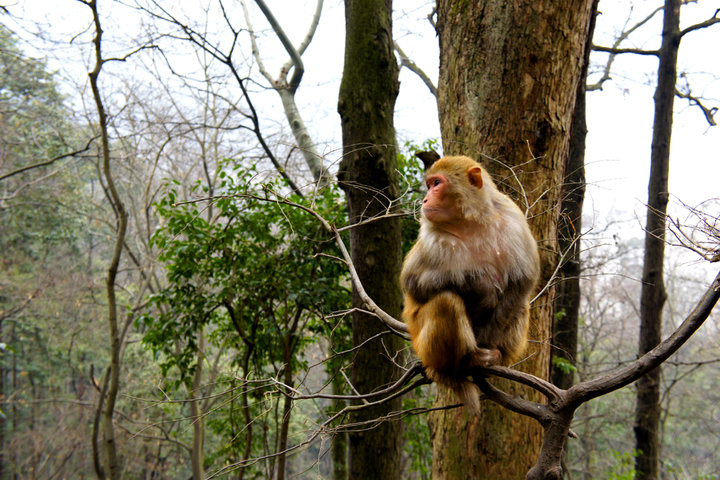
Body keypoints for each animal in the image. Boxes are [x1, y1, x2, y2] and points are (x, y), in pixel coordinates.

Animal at [400, 154, 540, 412]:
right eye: (429, 185)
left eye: (436, 184)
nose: (424, 199)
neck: (470, 220)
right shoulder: (433, 234)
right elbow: (415, 282)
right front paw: (481, 286)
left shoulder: (513, 218)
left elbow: (521, 280)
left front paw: (489, 345)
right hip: (423, 347)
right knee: (446, 300)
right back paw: (457, 365)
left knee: (520, 302)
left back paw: (494, 356)